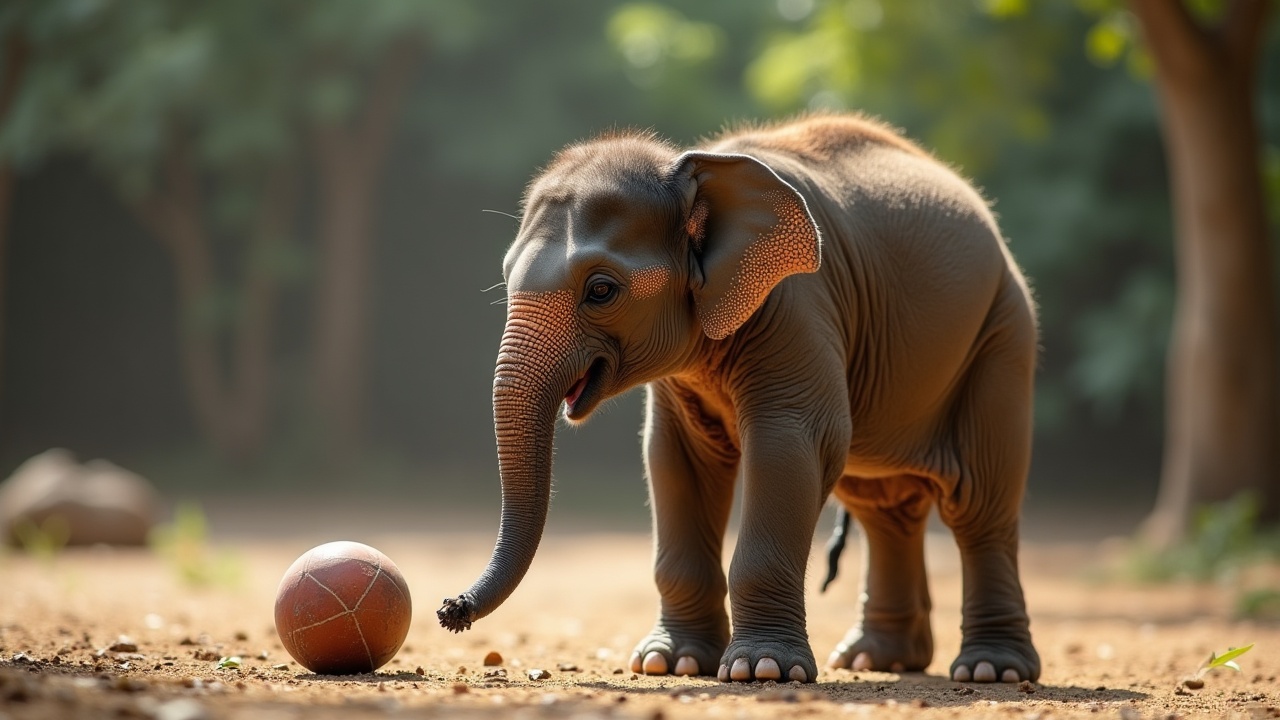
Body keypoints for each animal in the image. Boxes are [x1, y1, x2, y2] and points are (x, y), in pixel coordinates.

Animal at [438, 113, 1040, 685]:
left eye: (602, 290)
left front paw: (762, 670)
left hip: (1003, 335)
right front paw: (670, 664)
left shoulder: (796, 304)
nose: (450, 609)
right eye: (505, 276)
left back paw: (991, 670)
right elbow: (675, 459)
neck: (691, 166)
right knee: (884, 508)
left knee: (978, 502)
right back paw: (876, 659)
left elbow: (791, 445)